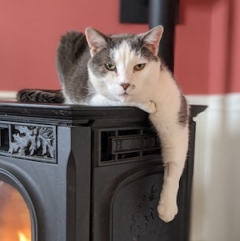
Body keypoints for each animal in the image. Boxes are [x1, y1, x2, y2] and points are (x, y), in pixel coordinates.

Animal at [16, 25, 189, 222]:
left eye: (139, 66)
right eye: (109, 66)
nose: (125, 84)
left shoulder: (175, 112)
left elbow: (175, 162)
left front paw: (167, 207)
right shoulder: (93, 99)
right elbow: (119, 100)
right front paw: (146, 104)